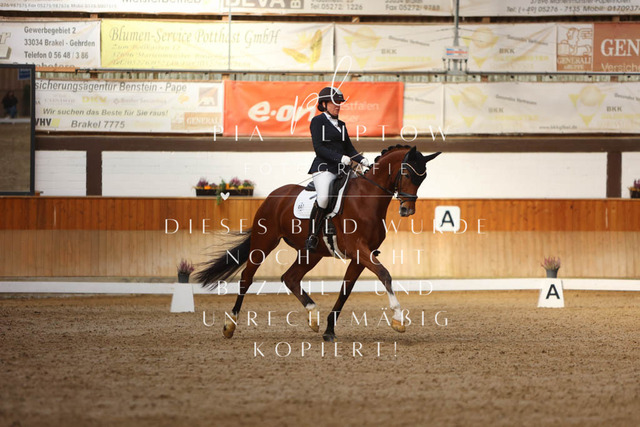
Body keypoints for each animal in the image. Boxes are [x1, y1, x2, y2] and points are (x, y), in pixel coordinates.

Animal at [194, 145, 441, 342]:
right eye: (406, 173)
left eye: (423, 178)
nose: (407, 210)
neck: (367, 198)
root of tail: (273, 196)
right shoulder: (358, 249)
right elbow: (385, 274)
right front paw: (398, 319)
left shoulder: (361, 256)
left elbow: (345, 290)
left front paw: (329, 330)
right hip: (264, 242)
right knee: (247, 277)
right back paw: (230, 325)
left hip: (311, 252)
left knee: (290, 277)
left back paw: (313, 316)